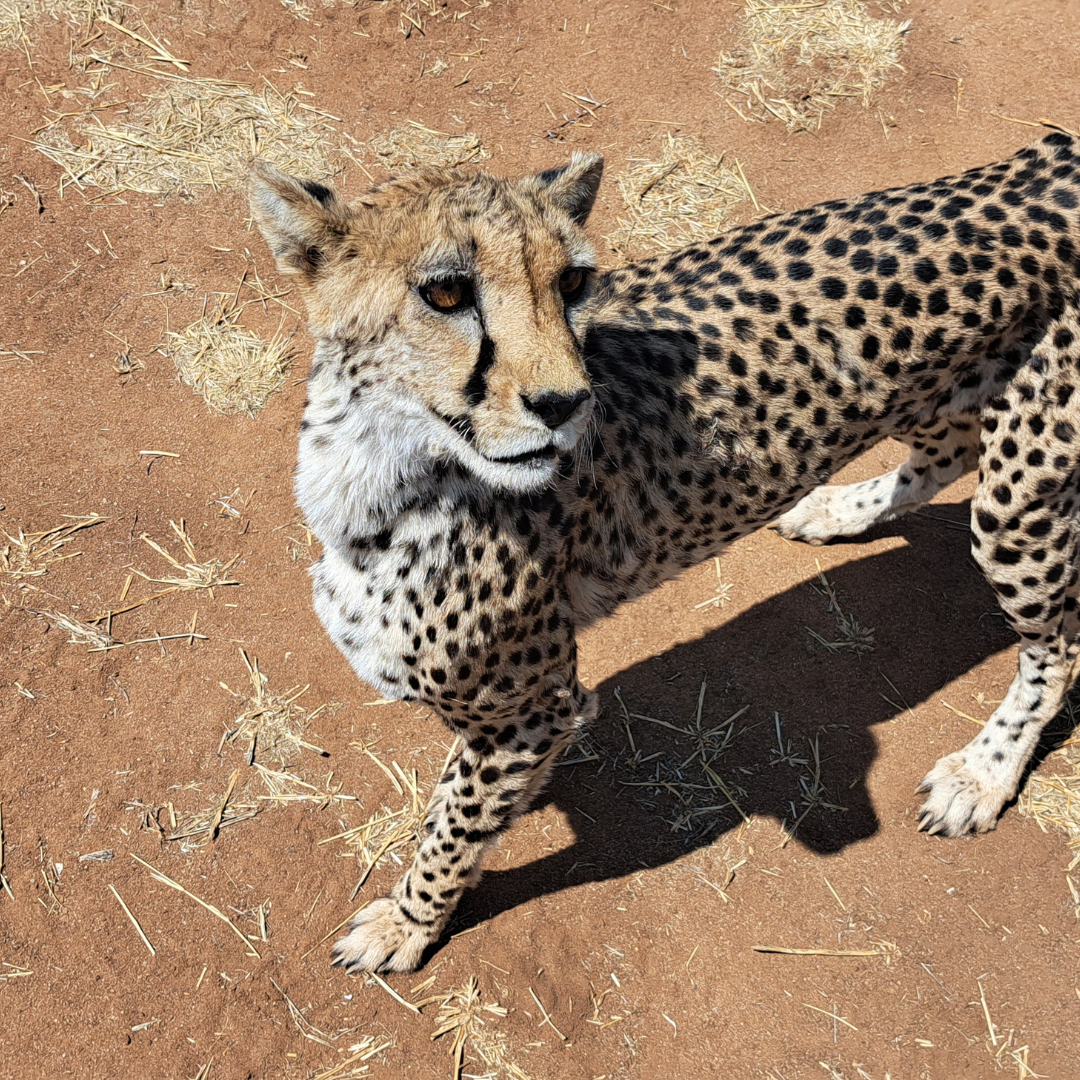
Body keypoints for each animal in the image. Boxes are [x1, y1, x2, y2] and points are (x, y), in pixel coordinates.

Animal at [248, 130, 1080, 976]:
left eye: (573, 281)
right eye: (445, 294)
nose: (566, 403)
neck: (379, 462)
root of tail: (1047, 161)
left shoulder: (532, 709)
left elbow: (451, 830)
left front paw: (407, 923)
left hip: (1017, 495)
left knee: (1056, 648)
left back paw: (983, 773)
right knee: (947, 449)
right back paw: (833, 509)